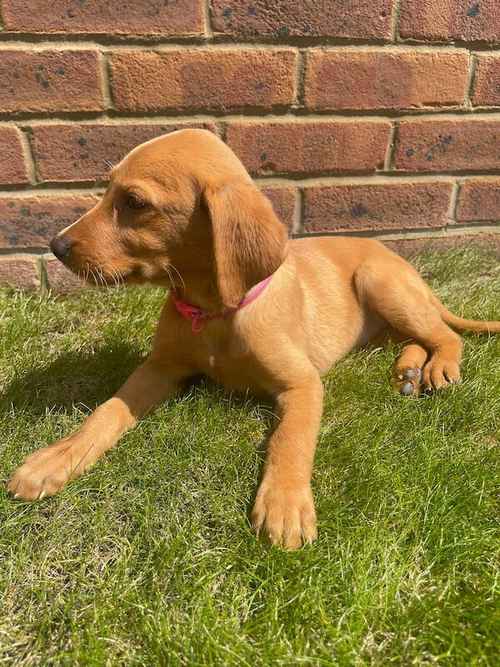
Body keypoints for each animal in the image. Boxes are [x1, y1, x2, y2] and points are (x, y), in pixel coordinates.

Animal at [8, 129, 500, 548]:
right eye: (108, 189)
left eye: (134, 202)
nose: (56, 246)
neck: (213, 314)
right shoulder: (159, 366)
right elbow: (106, 412)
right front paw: (53, 460)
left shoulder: (302, 383)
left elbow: (291, 439)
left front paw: (284, 505)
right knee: (412, 338)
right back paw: (408, 369)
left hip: (381, 282)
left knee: (445, 334)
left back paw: (438, 367)